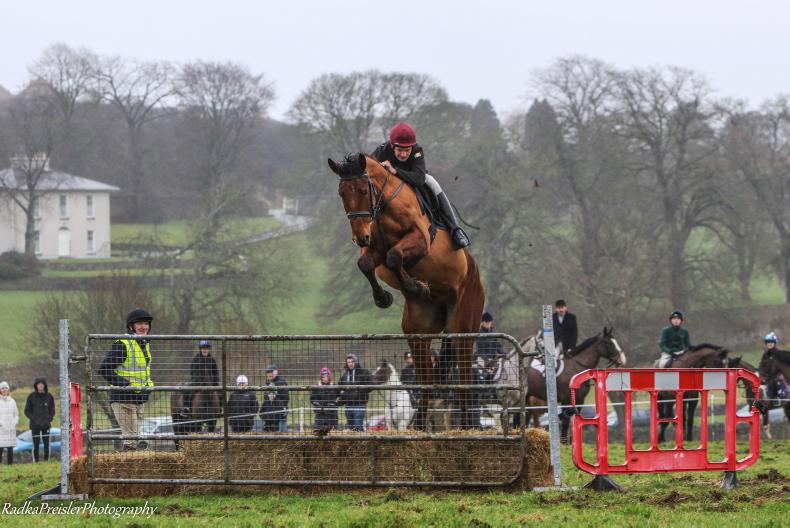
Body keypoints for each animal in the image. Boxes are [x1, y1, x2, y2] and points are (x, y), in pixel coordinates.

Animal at [328, 153, 485, 429]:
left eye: (362, 190)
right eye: (341, 193)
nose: (359, 237)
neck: (384, 208)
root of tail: (475, 273)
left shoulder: (419, 240)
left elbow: (394, 256)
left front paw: (413, 285)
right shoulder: (374, 248)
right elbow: (368, 263)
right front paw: (384, 297)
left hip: (463, 328)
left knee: (465, 376)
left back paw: (467, 426)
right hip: (418, 332)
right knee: (426, 379)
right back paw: (419, 426)